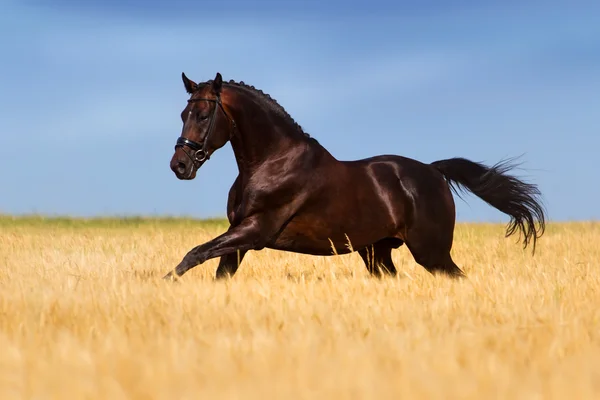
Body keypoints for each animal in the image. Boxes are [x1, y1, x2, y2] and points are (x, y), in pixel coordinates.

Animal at [162, 70, 548, 280]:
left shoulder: (255, 231)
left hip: (431, 251)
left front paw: (164, 283)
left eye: (202, 115)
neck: (272, 161)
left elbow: (193, 254)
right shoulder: (239, 236)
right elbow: (216, 271)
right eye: (182, 113)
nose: (179, 165)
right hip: (378, 252)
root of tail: (433, 172)